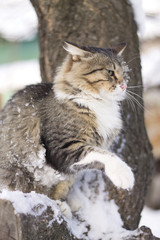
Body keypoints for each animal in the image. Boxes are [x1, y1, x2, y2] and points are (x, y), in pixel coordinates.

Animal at [0, 42, 134, 200]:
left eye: (124, 73)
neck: (99, 104)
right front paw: (124, 174)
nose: (124, 85)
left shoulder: (72, 163)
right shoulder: (64, 147)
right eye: (110, 72)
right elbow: (102, 154)